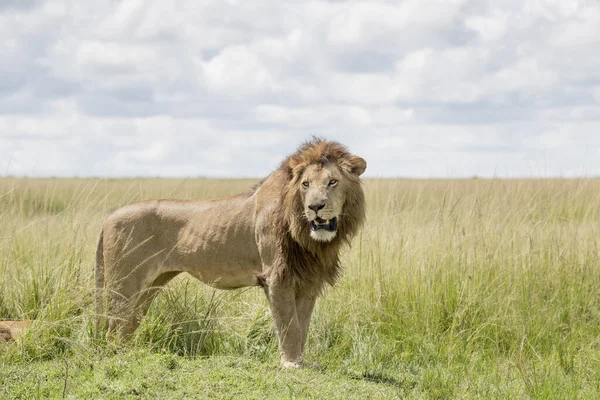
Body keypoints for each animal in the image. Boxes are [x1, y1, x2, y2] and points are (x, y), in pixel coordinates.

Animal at [95, 138, 366, 368]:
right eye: (305, 184)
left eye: (332, 182)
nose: (315, 207)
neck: (307, 236)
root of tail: (108, 218)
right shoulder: (277, 277)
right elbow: (289, 325)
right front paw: (291, 364)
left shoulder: (309, 280)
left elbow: (302, 325)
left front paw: (301, 362)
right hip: (125, 284)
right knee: (113, 328)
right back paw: (117, 356)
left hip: (150, 287)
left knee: (126, 327)